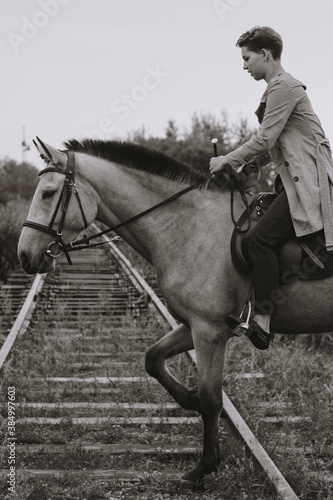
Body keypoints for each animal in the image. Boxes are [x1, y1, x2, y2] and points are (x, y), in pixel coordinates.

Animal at [18, 137, 333, 488]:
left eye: (48, 193)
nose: (24, 255)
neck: (187, 227)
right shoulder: (192, 325)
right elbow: (153, 359)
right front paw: (189, 399)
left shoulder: (209, 331)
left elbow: (212, 399)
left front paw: (204, 466)